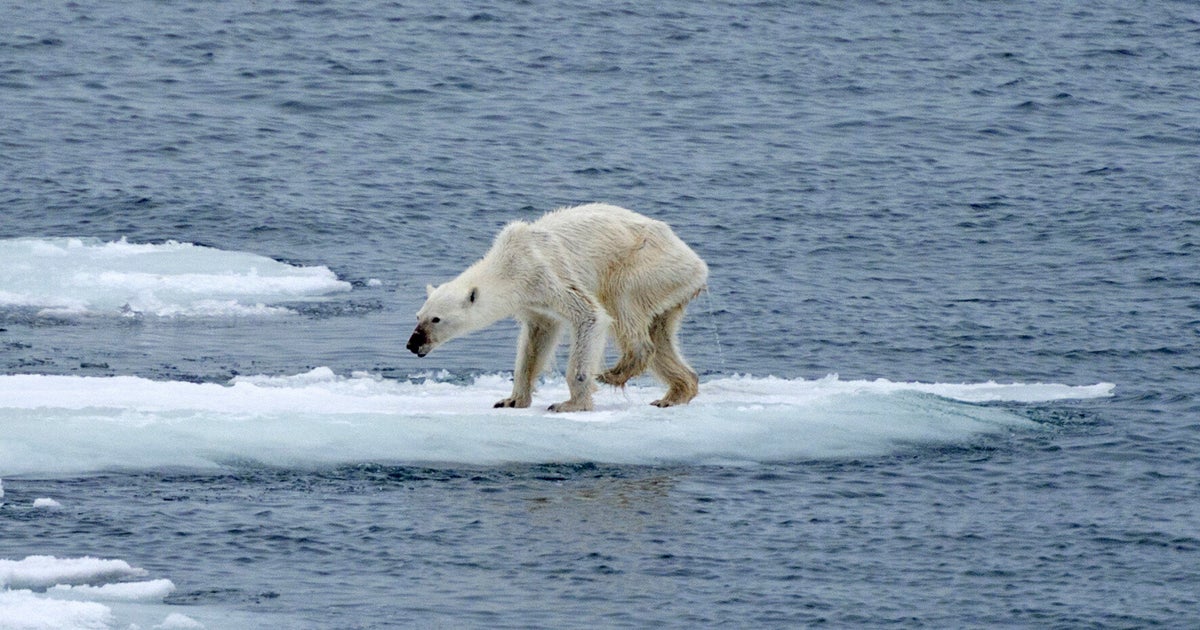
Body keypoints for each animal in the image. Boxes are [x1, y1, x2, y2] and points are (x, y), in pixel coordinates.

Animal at [408, 204, 705, 412]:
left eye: (436, 319)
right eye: (418, 315)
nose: (413, 344)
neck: (510, 263)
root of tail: (698, 264)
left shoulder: (546, 274)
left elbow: (590, 315)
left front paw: (570, 404)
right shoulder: (533, 301)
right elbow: (536, 340)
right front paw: (511, 400)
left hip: (647, 266)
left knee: (623, 302)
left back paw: (614, 373)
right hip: (670, 287)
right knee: (661, 334)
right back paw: (674, 394)